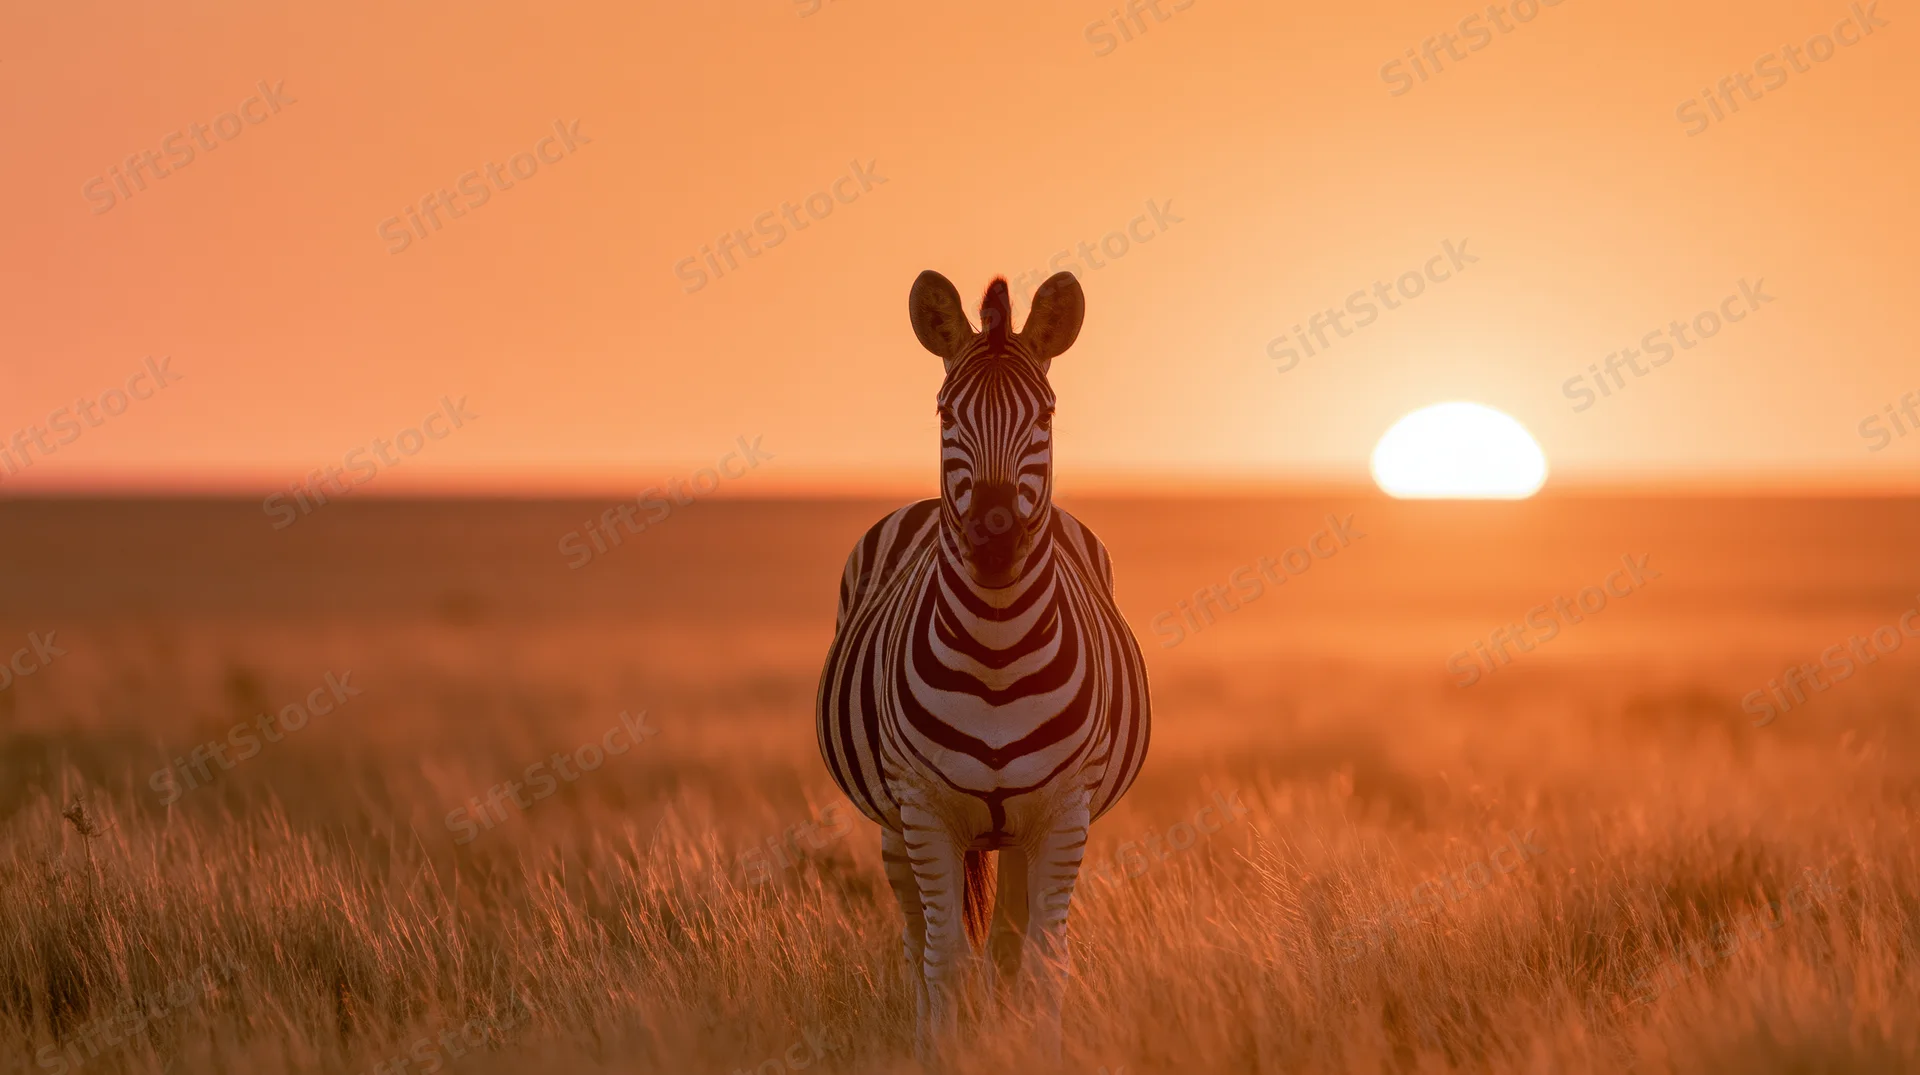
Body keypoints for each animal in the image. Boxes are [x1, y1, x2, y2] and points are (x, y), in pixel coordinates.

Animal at [816, 269, 1152, 1060]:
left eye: (1047, 414)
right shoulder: (923, 807)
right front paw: (940, 1055)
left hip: (1024, 830)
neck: (997, 652)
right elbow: (944, 959)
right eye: (946, 413)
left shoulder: (1064, 810)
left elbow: (1041, 960)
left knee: (1007, 946)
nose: (995, 538)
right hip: (894, 826)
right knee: (920, 944)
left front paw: (1036, 1053)